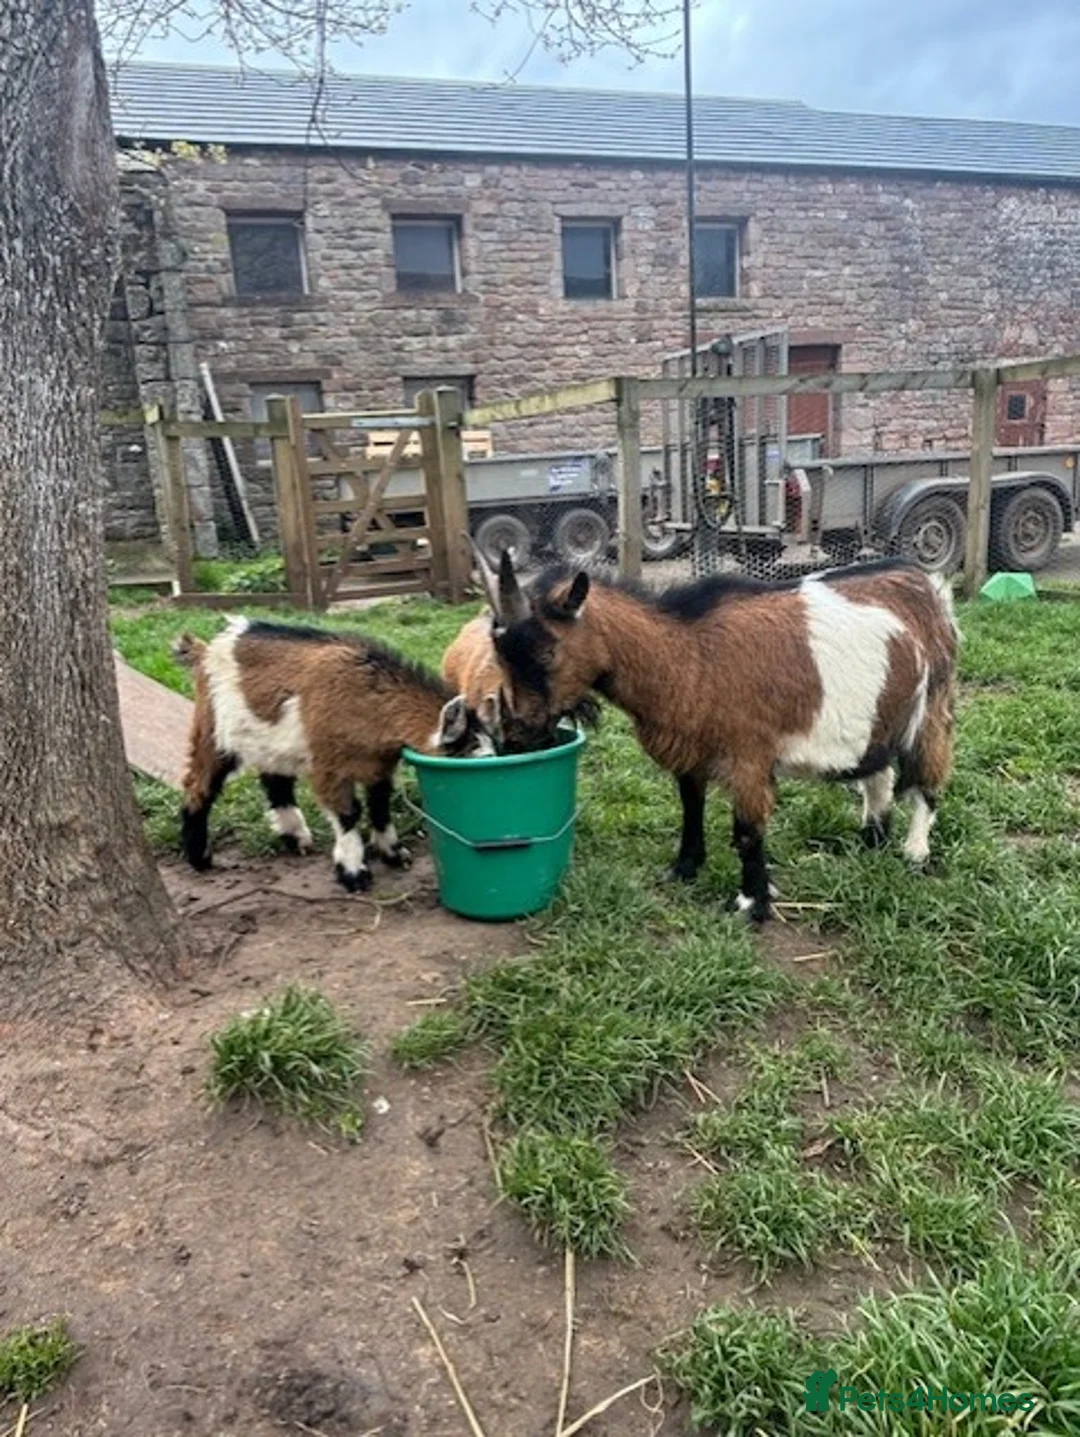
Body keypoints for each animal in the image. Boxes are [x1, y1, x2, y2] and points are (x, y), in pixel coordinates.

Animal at [174, 617, 495, 892]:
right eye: (474, 757)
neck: (365, 698)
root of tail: (204, 650)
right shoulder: (328, 766)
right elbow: (348, 812)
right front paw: (354, 873)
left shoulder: (379, 765)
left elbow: (380, 804)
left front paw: (393, 853)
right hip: (213, 729)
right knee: (199, 784)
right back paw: (200, 856)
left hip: (271, 741)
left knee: (275, 778)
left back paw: (296, 837)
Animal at [486, 553, 958, 922]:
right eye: (500, 655)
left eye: (547, 651)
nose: (518, 735)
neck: (689, 656)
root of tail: (928, 585)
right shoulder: (692, 751)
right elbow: (690, 809)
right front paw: (682, 870)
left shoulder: (748, 756)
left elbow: (747, 830)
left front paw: (751, 902)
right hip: (876, 718)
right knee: (879, 776)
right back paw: (871, 841)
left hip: (932, 705)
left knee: (928, 779)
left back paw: (915, 853)